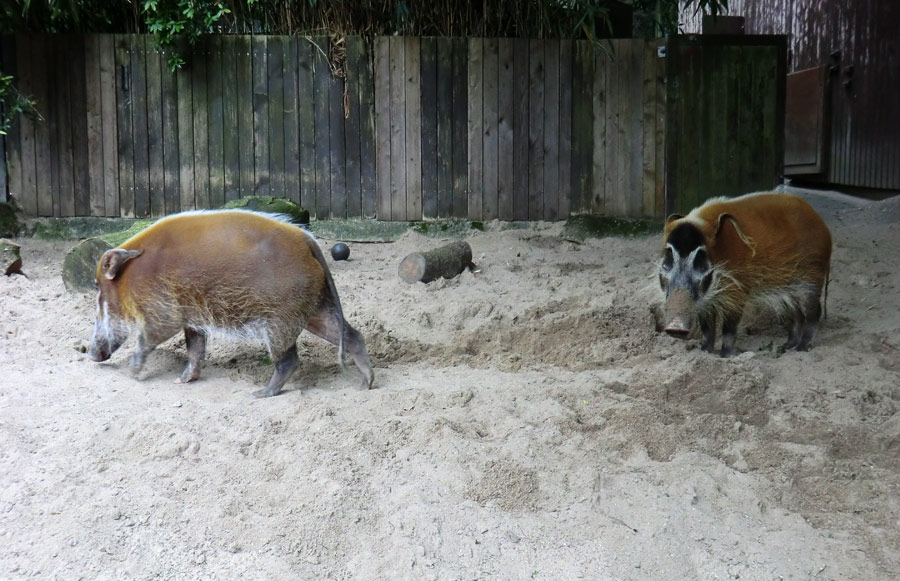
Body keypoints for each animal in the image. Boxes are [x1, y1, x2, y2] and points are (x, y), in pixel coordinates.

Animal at [87, 210, 372, 398]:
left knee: (289, 360)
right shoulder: (193, 319)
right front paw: (183, 381)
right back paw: (366, 383)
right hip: (314, 310)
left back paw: (260, 393)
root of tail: (308, 242)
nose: (90, 354)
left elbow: (148, 339)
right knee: (352, 335)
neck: (132, 277)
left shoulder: (163, 313)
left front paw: (131, 373)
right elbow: (195, 348)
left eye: (99, 290)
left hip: (280, 320)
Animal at [656, 193, 832, 356]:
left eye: (700, 260)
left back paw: (802, 348)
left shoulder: (737, 292)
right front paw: (705, 351)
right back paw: (787, 346)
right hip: (789, 290)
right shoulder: (707, 302)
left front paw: (726, 356)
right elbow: (707, 328)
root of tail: (825, 228)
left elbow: (729, 328)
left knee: (814, 312)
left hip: (811, 280)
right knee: (797, 315)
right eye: (666, 263)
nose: (675, 326)